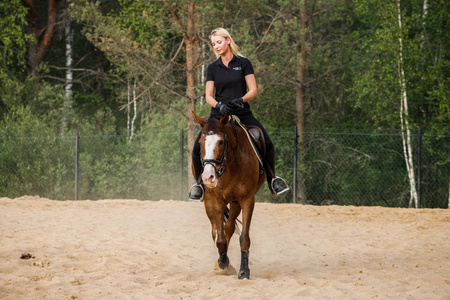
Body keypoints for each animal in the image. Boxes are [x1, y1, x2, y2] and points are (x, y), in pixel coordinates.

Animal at [192, 112, 266, 278]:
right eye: (200, 143)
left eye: (220, 142)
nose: (208, 177)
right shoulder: (215, 201)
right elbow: (219, 238)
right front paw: (223, 262)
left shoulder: (246, 199)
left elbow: (243, 237)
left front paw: (244, 270)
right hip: (210, 202)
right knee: (215, 230)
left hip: (234, 202)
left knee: (229, 227)